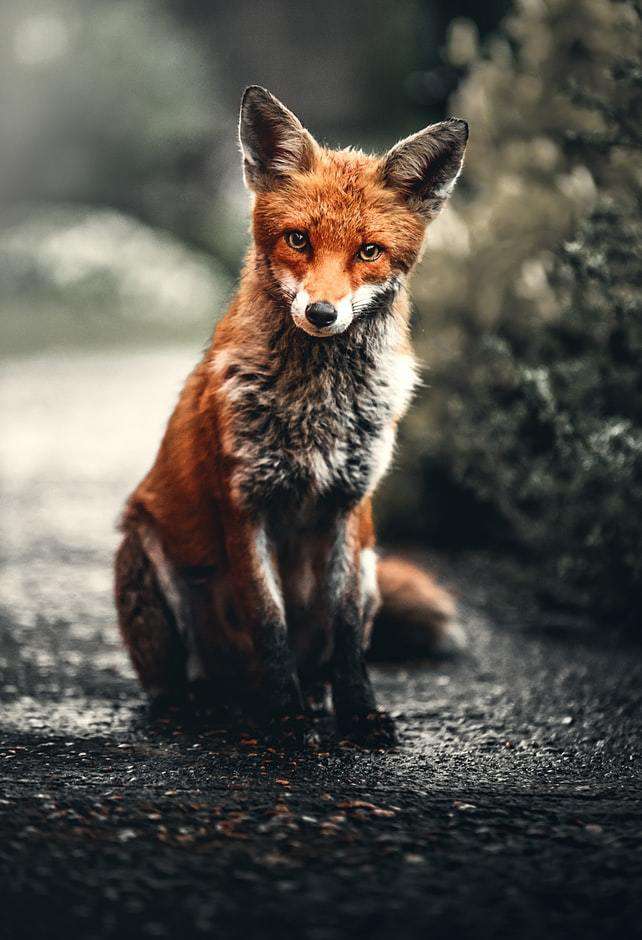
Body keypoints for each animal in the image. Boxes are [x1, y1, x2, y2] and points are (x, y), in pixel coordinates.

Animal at [114, 86, 468, 746]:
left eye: (369, 251)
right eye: (299, 240)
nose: (323, 313)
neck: (316, 408)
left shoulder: (350, 507)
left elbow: (347, 633)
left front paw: (358, 713)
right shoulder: (244, 504)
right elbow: (269, 622)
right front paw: (284, 719)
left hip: (373, 564)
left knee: (322, 658)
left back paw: (313, 698)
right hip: (147, 554)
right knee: (180, 683)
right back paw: (208, 705)